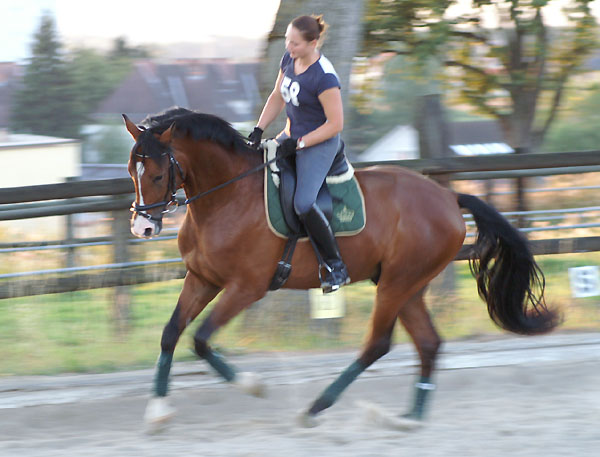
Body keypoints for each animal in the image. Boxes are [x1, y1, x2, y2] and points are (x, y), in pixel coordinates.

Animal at [124, 107, 560, 428]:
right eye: (132, 172)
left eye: (158, 173)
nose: (143, 227)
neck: (228, 196)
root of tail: (448, 197)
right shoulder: (202, 279)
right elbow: (171, 333)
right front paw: (157, 411)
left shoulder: (246, 287)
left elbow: (200, 339)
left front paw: (253, 386)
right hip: (408, 285)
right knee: (428, 343)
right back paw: (409, 419)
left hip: (397, 283)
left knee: (378, 344)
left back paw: (318, 407)